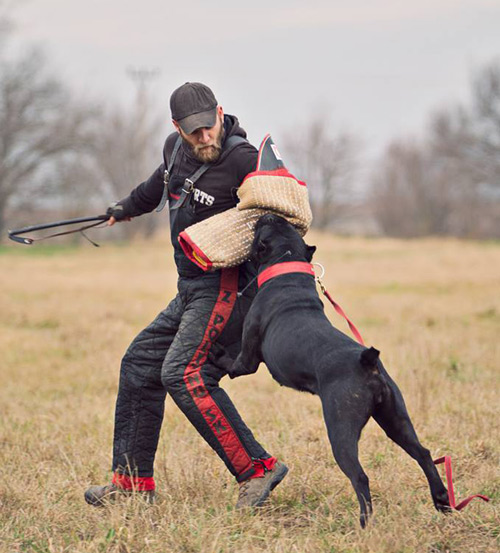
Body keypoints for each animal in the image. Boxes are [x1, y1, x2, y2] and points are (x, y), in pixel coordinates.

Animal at [215, 212, 450, 528]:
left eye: (266, 228)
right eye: (282, 224)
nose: (269, 213)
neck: (287, 266)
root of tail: (367, 361)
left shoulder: (247, 360)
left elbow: (232, 362)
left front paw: (215, 352)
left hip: (341, 430)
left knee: (360, 476)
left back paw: (364, 523)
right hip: (395, 419)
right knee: (423, 454)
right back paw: (441, 501)